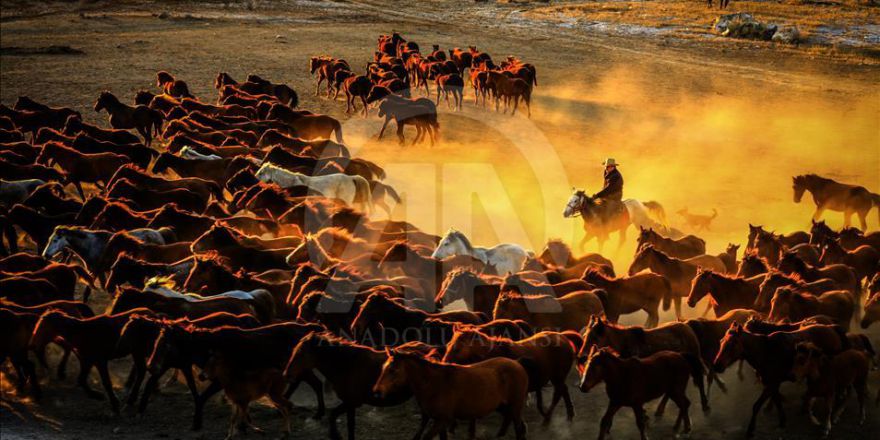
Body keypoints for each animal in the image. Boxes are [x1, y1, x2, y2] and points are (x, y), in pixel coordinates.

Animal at [372, 348, 524, 440]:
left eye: (393, 370)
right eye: (383, 367)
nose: (377, 391)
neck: (434, 384)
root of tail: (517, 363)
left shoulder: (442, 420)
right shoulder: (437, 421)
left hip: (515, 406)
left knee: (518, 428)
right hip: (503, 406)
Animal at [444, 328, 580, 424]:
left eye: (457, 348)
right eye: (448, 344)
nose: (445, 362)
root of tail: (563, 337)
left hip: (557, 377)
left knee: (558, 393)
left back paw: (548, 418)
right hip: (557, 378)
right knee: (564, 390)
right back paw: (569, 414)